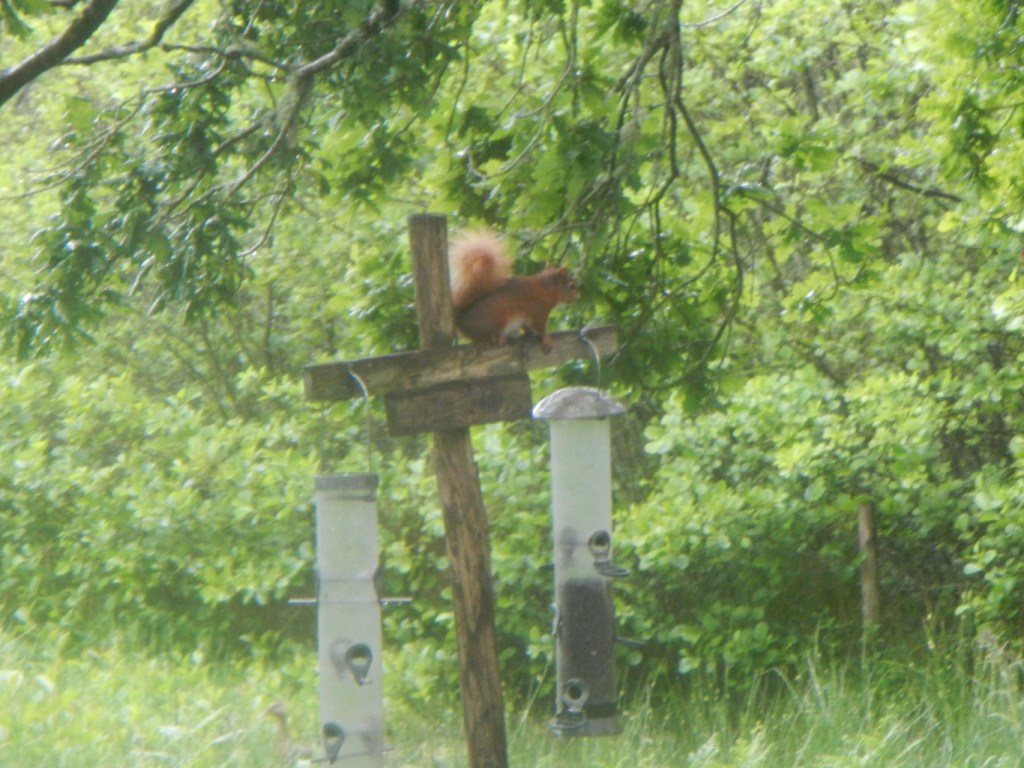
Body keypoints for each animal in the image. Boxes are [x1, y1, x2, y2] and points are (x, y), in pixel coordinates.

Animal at [449, 230, 580, 350]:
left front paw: (528, 333)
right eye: (571, 286)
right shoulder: (539, 311)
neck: (547, 288)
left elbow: (527, 326)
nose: (577, 297)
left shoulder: (527, 317)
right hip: (497, 317)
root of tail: (461, 322)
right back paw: (497, 338)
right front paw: (546, 338)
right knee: (485, 337)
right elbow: (540, 327)